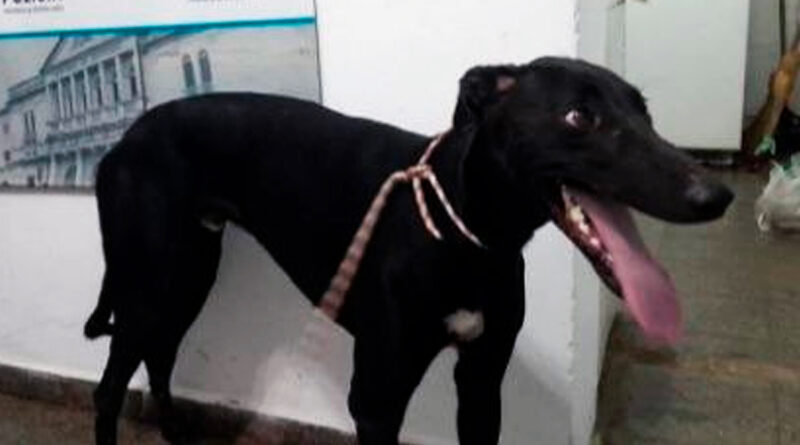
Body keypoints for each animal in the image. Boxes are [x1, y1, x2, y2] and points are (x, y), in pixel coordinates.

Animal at [84, 57, 733, 445]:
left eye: (644, 111)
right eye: (579, 115)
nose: (716, 195)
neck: (462, 228)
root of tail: (125, 139)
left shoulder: (481, 380)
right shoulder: (376, 398)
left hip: (186, 273)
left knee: (159, 358)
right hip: (151, 280)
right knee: (111, 385)